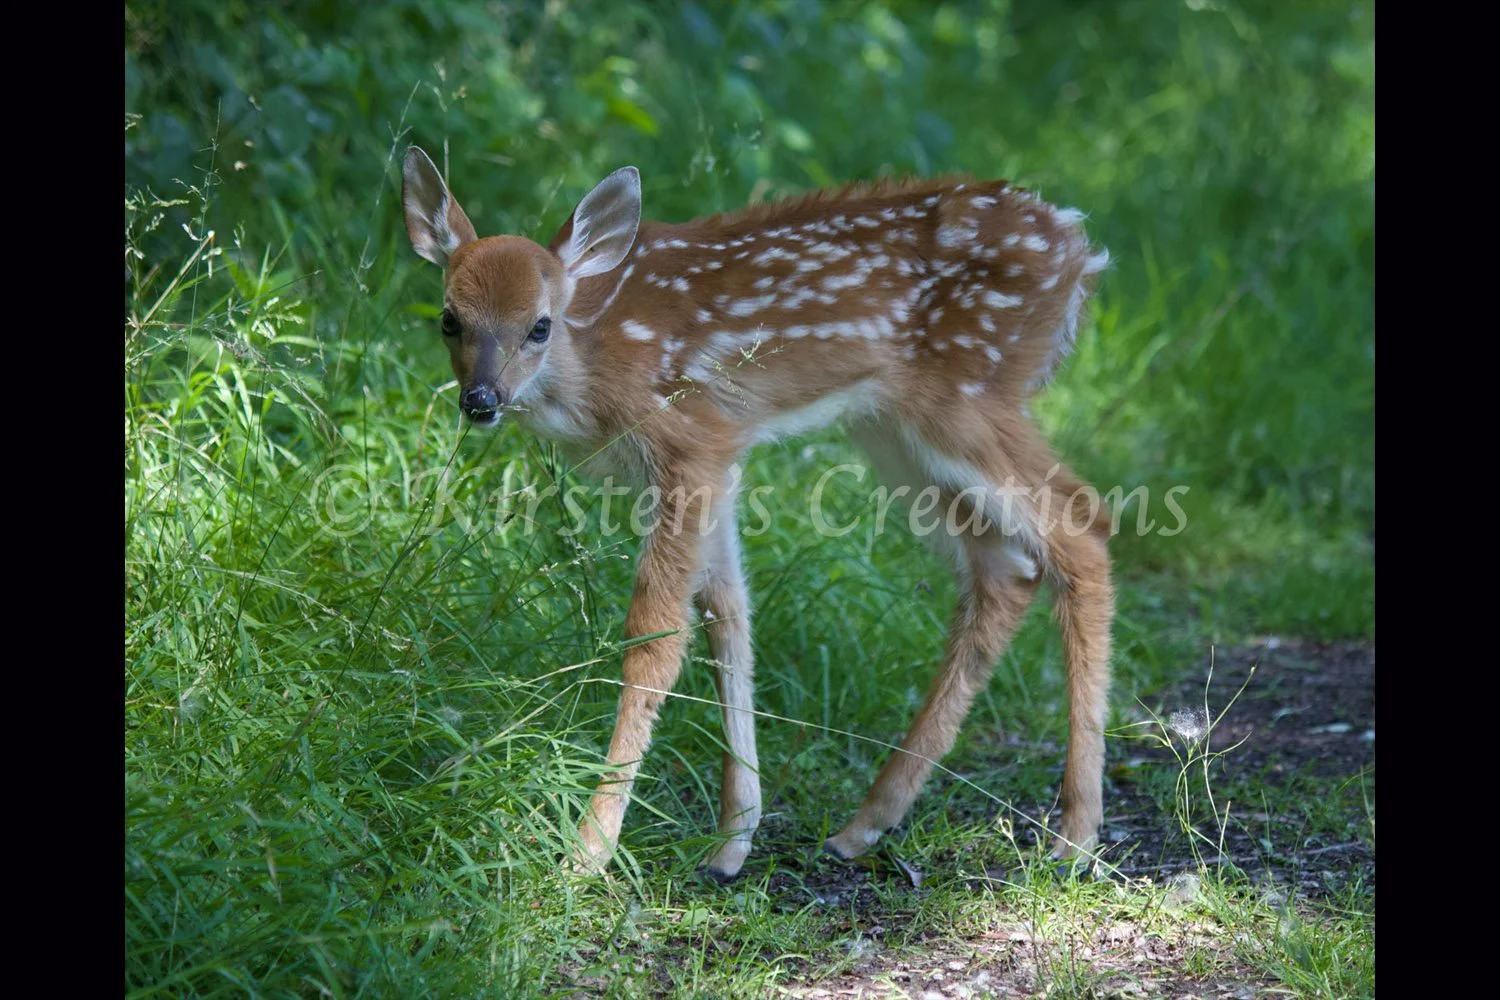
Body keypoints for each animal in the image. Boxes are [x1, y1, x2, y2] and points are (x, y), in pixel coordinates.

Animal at [401, 144, 1115, 881]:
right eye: (450, 319)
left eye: (539, 325)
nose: (481, 399)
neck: (594, 366)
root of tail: (1077, 248)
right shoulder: (720, 458)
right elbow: (727, 610)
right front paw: (732, 840)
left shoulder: (691, 441)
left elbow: (657, 635)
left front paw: (589, 850)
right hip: (897, 431)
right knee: (1005, 567)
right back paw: (864, 825)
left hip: (969, 399)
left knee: (1082, 529)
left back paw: (1076, 835)